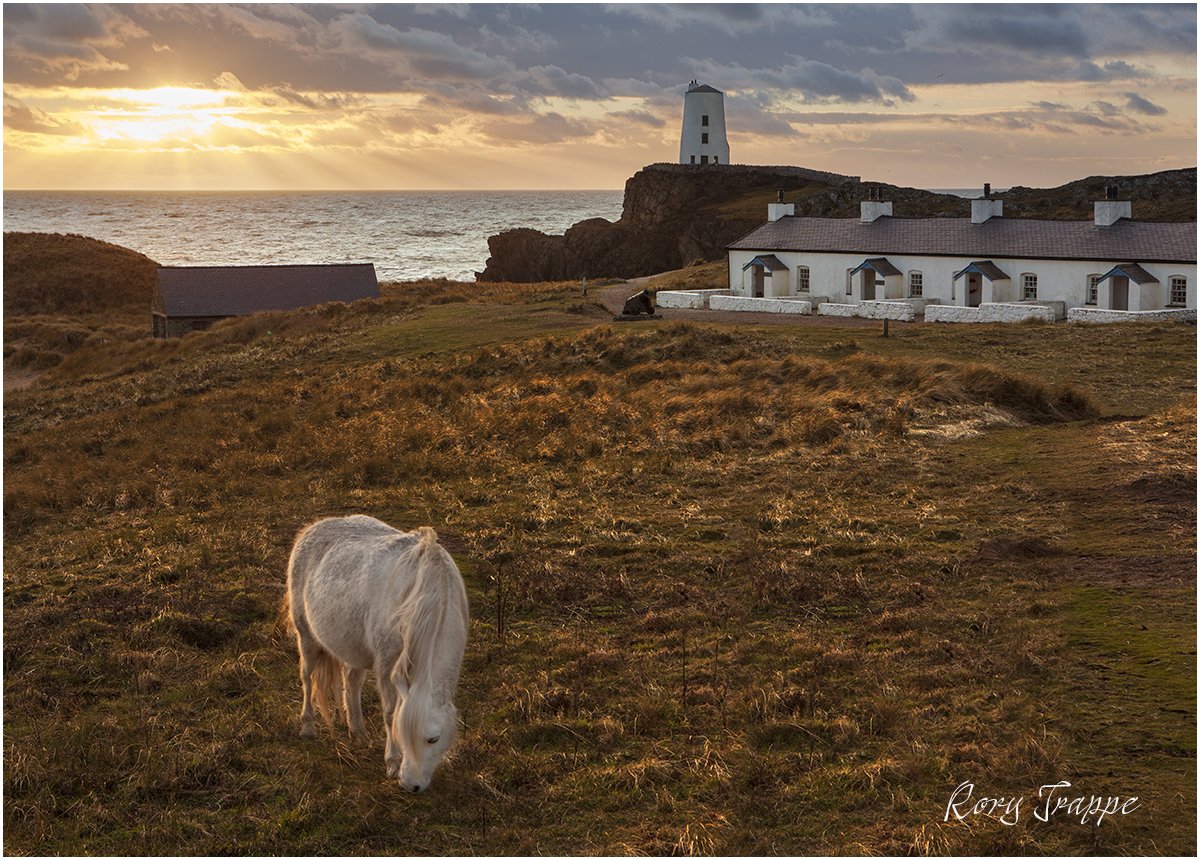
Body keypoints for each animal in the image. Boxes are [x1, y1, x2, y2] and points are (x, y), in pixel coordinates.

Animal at [282, 515, 468, 791]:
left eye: (433, 739)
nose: (411, 785)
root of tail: (312, 528)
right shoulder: (387, 663)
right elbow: (390, 713)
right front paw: (392, 762)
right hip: (306, 637)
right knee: (307, 679)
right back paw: (308, 727)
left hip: (354, 650)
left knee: (351, 683)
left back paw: (358, 733)